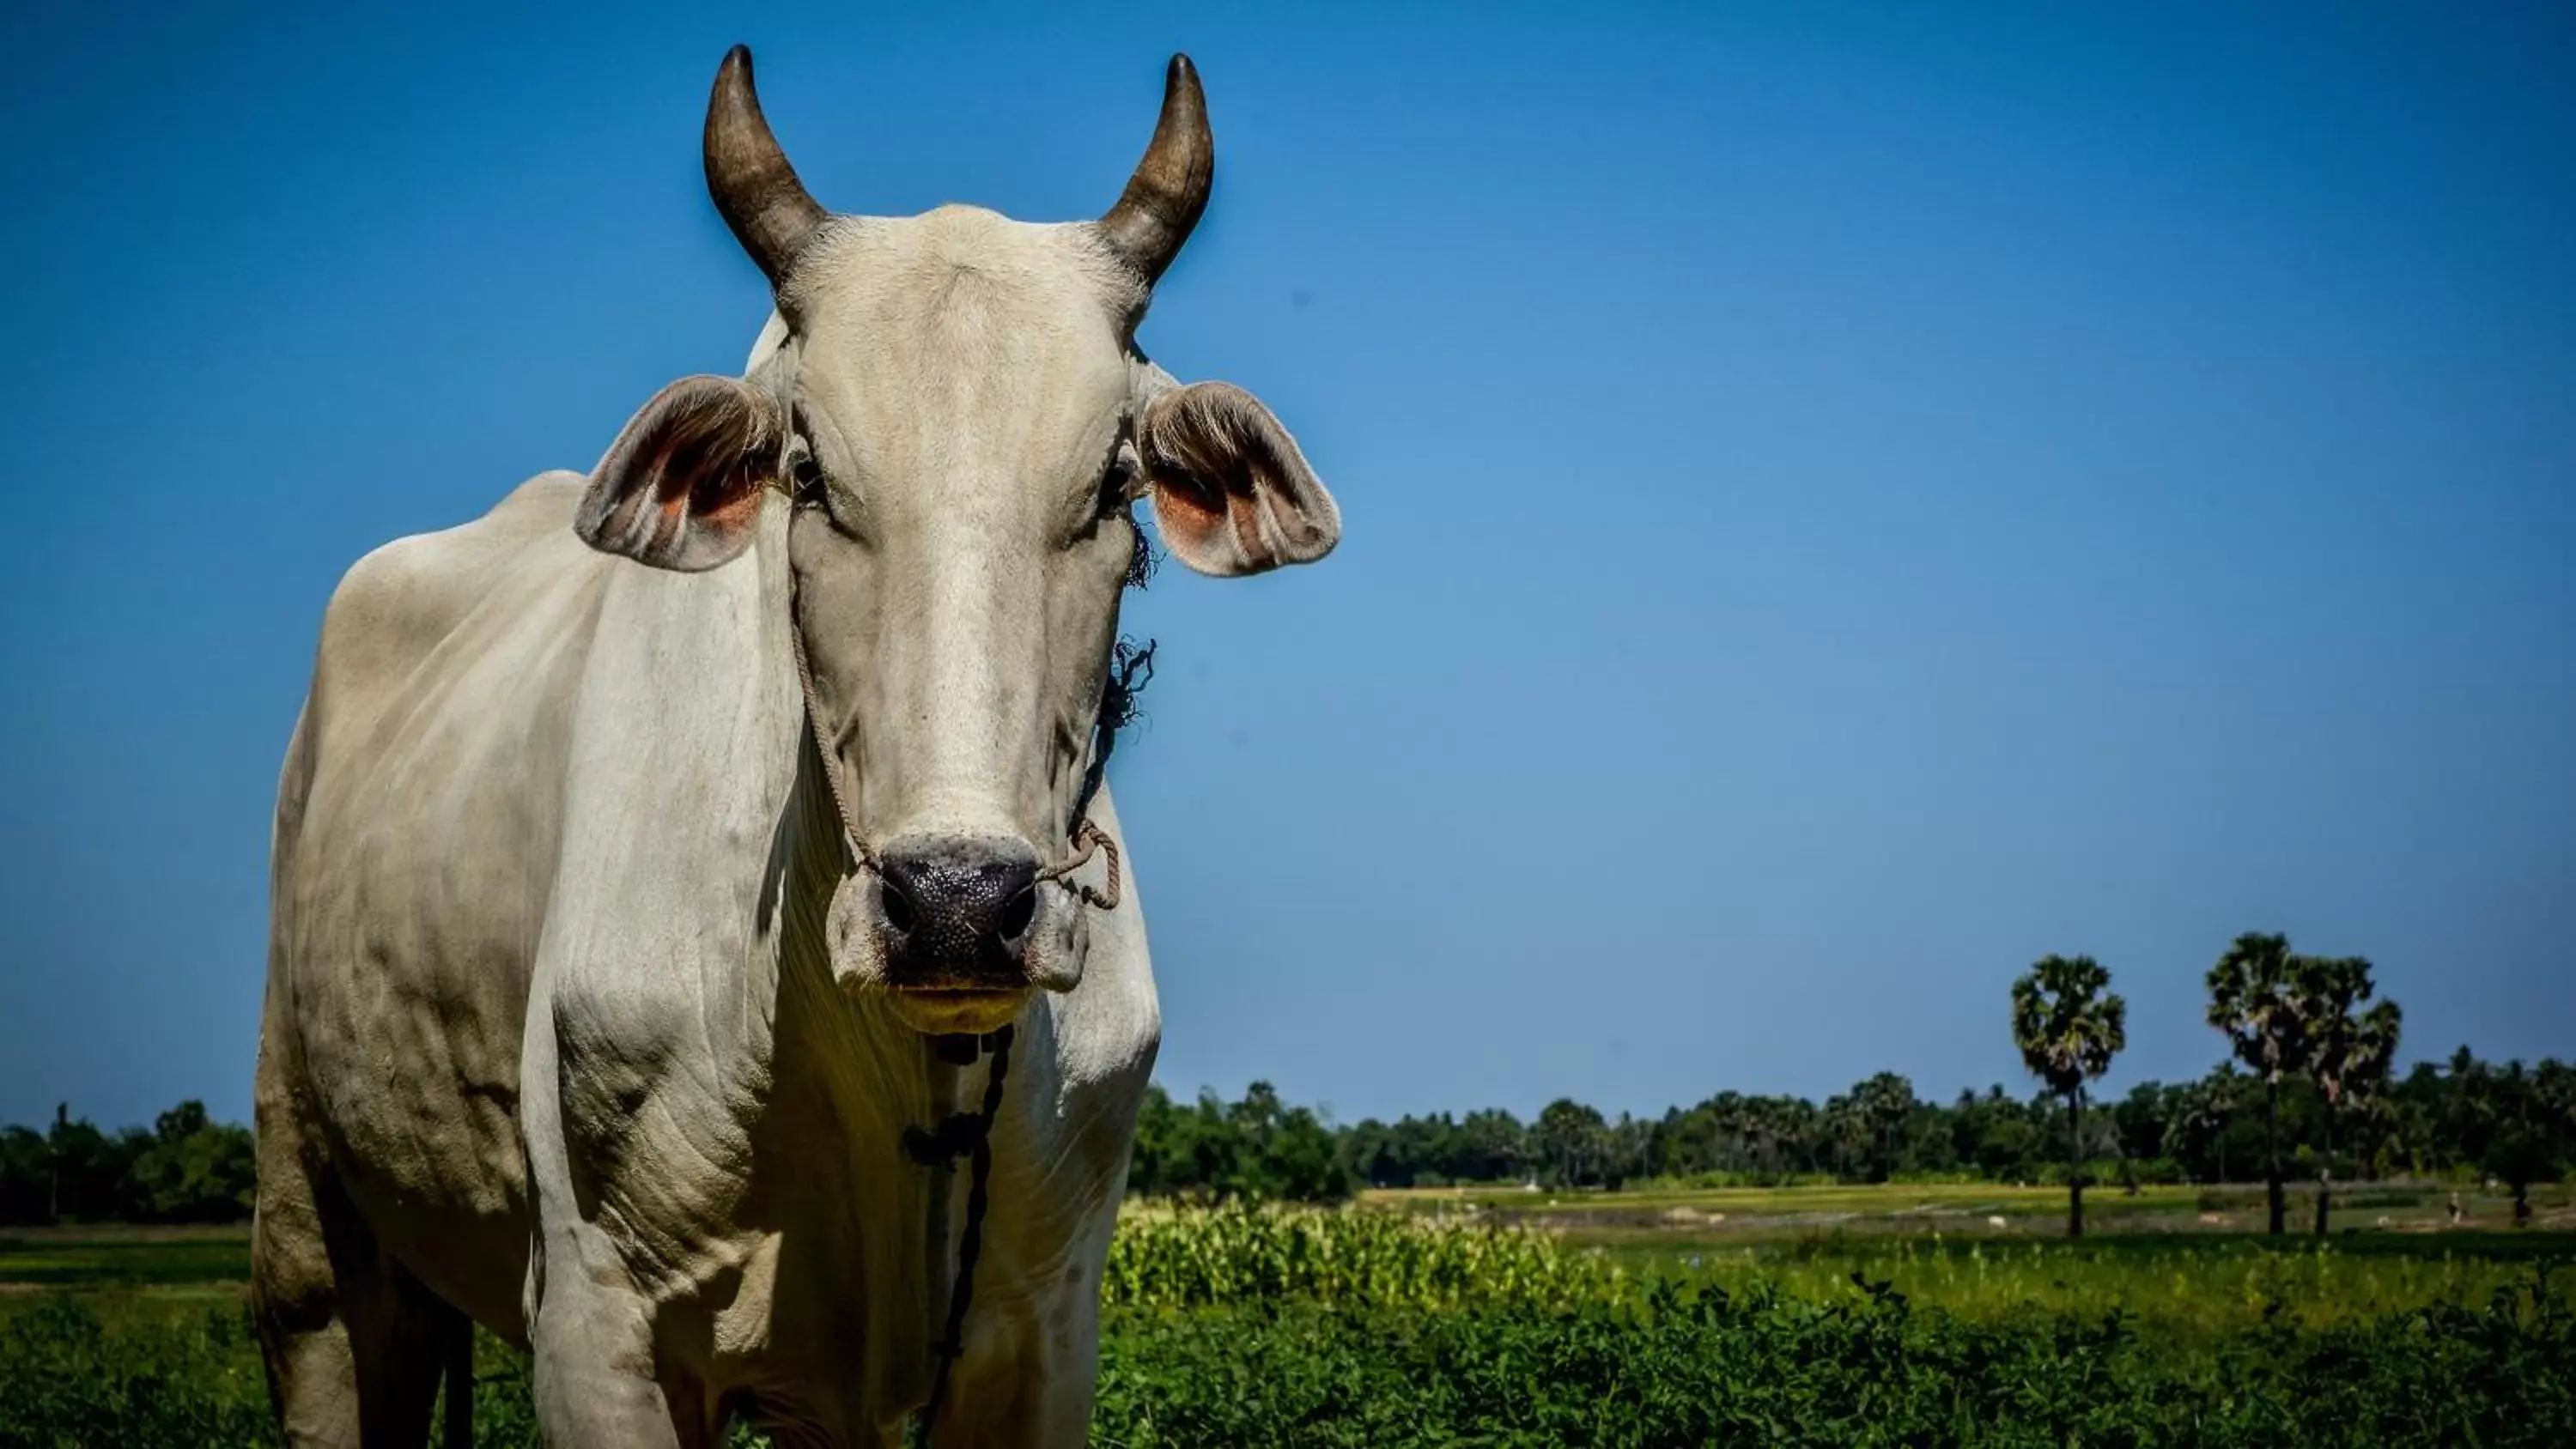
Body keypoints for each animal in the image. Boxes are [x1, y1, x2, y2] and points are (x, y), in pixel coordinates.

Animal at [253, 48, 1350, 1449]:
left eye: (1116, 484)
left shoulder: (1044, 1339)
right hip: (310, 1228)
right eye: (809, 473)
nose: (957, 903)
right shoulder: (596, 1323)